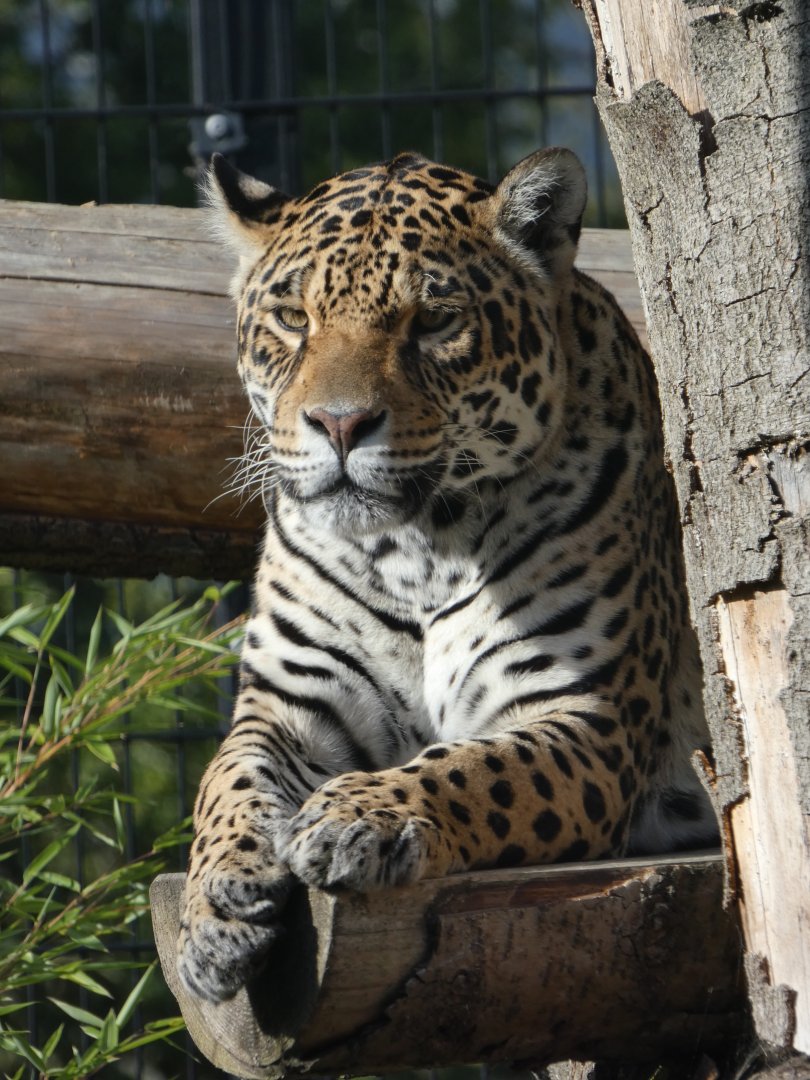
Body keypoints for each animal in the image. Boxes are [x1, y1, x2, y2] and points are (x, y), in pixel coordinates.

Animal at [177, 147, 718, 1003]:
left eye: (433, 322)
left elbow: (473, 768)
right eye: (294, 318)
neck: (414, 551)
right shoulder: (289, 703)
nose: (338, 424)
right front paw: (214, 907)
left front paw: (358, 815)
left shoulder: (584, 715)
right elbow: (226, 779)